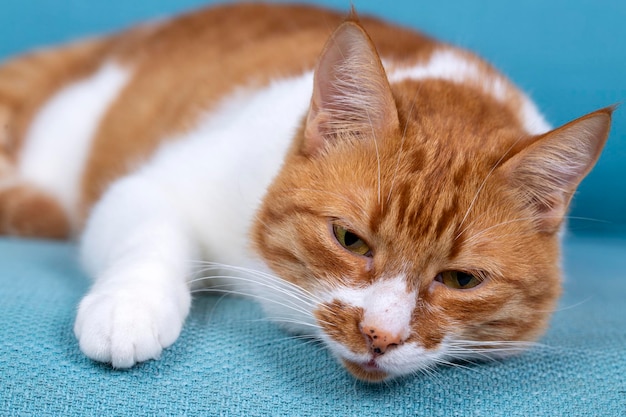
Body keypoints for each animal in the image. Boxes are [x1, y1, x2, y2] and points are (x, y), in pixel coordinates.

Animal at [0, 2, 612, 380]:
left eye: (461, 280)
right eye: (349, 239)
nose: (379, 335)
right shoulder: (153, 185)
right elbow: (152, 239)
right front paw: (128, 311)